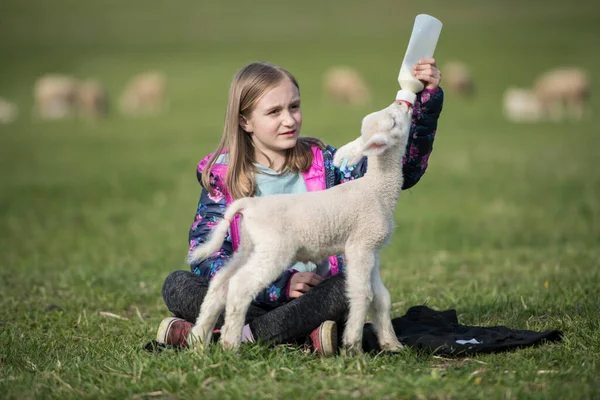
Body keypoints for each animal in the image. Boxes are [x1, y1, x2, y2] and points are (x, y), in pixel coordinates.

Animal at [188, 100, 412, 354]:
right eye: (393, 121)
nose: (403, 103)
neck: (377, 189)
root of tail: (248, 204)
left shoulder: (371, 248)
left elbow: (380, 296)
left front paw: (392, 344)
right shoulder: (360, 245)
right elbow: (362, 294)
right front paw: (353, 347)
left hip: (249, 246)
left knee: (220, 282)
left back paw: (198, 341)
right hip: (274, 249)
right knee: (240, 285)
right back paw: (230, 344)